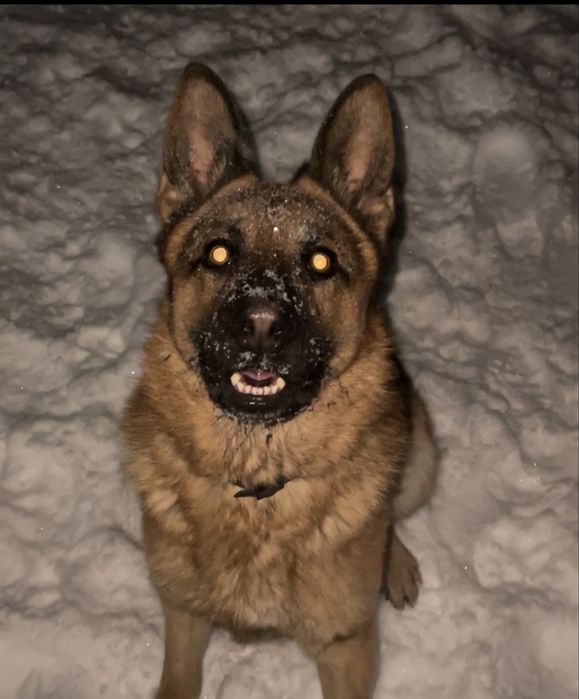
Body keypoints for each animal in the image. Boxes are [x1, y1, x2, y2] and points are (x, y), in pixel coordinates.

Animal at [121, 62, 437, 699]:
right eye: (218, 253)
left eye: (320, 262)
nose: (262, 322)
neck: (256, 482)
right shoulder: (183, 617)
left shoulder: (346, 649)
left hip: (422, 460)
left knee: (393, 511)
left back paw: (394, 563)